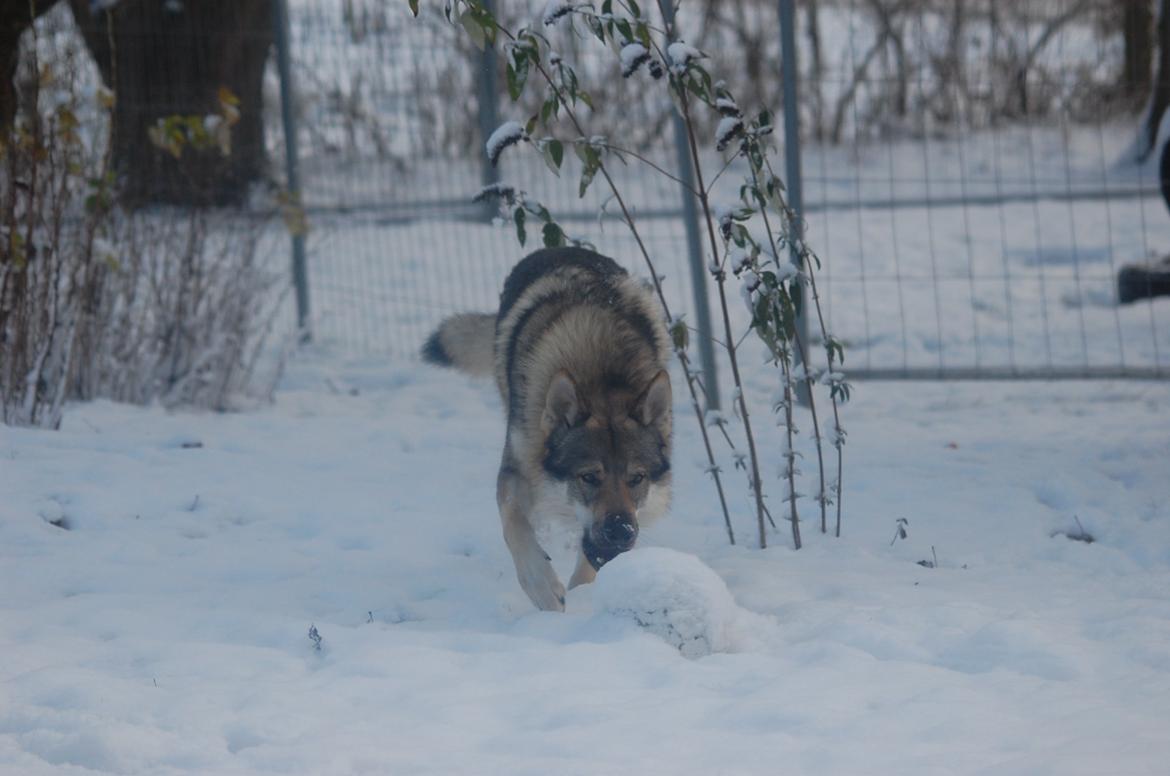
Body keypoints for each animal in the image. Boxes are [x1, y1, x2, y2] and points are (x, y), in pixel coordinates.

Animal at [425, 249, 673, 613]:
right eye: (589, 477)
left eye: (637, 478)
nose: (621, 532)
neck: (602, 373)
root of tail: (560, 249)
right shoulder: (516, 469)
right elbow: (516, 528)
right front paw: (544, 589)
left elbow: (587, 562)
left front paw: (582, 595)